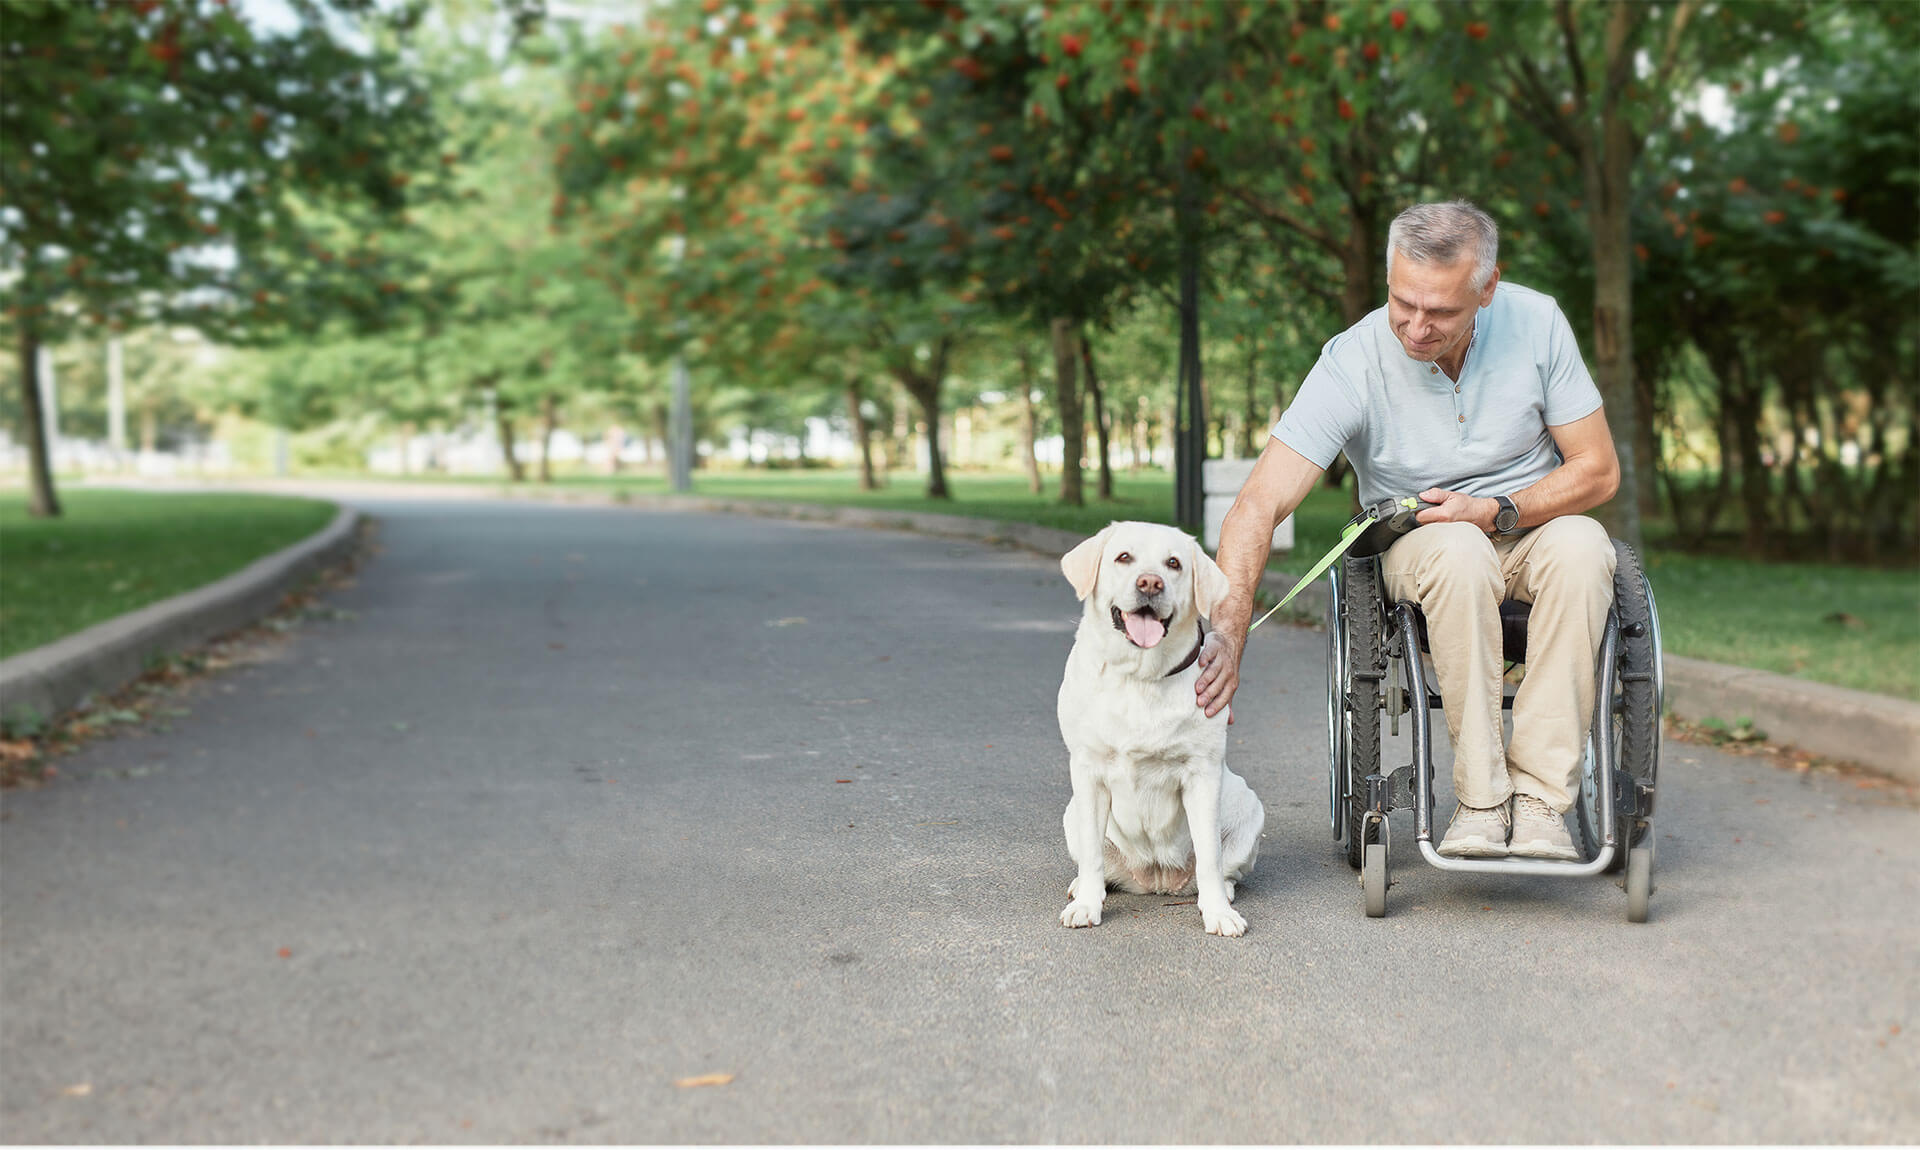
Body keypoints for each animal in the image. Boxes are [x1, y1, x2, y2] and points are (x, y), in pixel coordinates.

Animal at [1059, 522, 1267, 936]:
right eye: (1124, 557)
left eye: (1173, 563)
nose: (1151, 583)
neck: (1140, 676)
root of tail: (1157, 880)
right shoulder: (1088, 772)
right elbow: (1091, 854)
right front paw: (1087, 906)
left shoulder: (1202, 775)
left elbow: (1209, 856)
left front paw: (1219, 913)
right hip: (1072, 813)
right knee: (1098, 863)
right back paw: (1083, 887)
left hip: (1250, 809)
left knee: (1222, 868)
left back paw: (1224, 893)